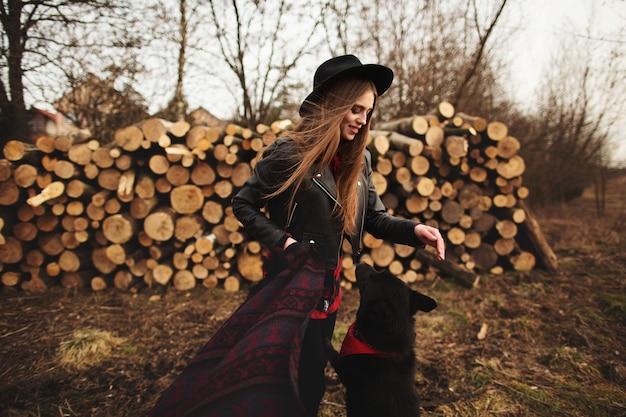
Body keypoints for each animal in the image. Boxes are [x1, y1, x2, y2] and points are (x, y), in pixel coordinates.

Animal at [324, 264, 436, 416]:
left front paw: (323, 337)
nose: (361, 263)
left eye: (366, 283)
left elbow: (332, 353)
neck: (381, 349)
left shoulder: (346, 370)